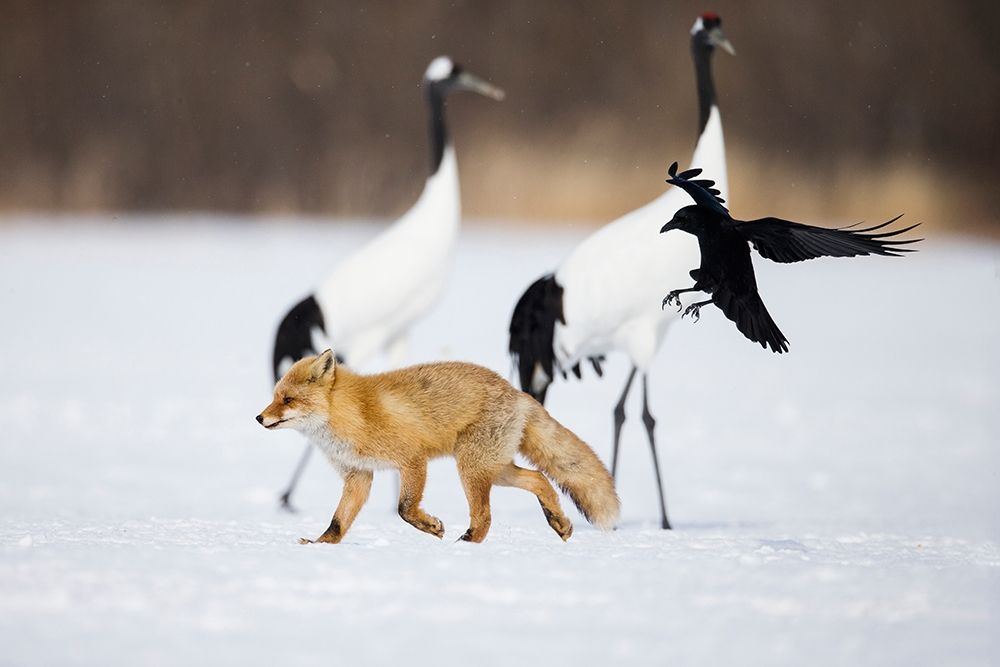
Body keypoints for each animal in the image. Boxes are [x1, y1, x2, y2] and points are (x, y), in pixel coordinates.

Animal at [256, 349, 620, 544]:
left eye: (287, 400)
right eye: (274, 397)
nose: (259, 418)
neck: (353, 413)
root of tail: (517, 392)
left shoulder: (412, 459)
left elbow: (404, 508)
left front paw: (430, 527)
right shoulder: (359, 476)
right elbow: (338, 521)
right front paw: (321, 544)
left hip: (471, 468)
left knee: (485, 515)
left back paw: (467, 543)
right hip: (494, 468)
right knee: (539, 479)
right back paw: (559, 523)